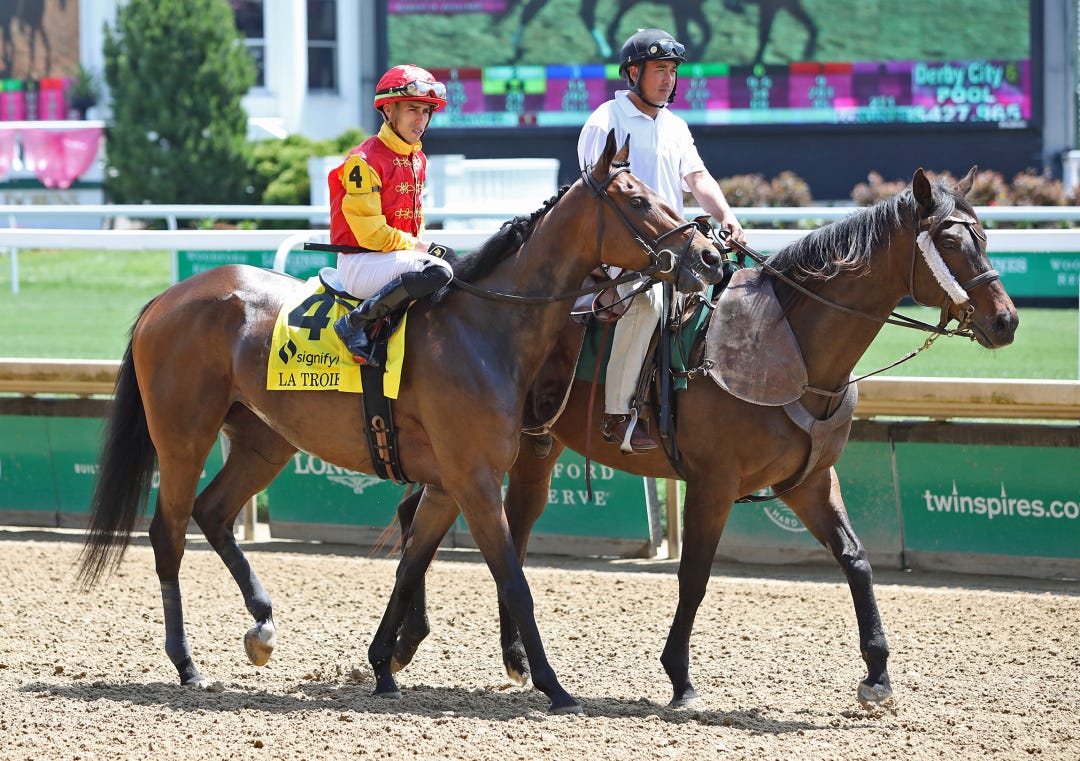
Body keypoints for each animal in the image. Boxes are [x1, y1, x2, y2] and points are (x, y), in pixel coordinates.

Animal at [75, 132, 724, 715]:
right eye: (637, 199)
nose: (710, 256)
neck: (486, 329)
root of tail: (167, 298)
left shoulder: (445, 485)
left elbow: (409, 567)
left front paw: (384, 668)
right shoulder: (474, 480)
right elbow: (513, 580)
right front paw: (553, 686)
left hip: (264, 440)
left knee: (213, 512)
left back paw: (261, 623)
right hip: (183, 437)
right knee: (167, 533)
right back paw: (186, 663)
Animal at [388, 167, 1019, 709]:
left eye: (985, 237)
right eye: (951, 242)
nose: (1006, 320)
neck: (793, 344)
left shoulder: (810, 482)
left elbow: (856, 560)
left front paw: (878, 672)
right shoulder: (714, 484)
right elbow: (694, 576)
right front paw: (679, 676)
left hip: (529, 451)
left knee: (492, 532)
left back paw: (504, 655)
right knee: (435, 518)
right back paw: (408, 642)